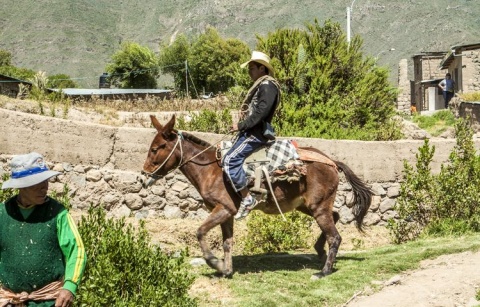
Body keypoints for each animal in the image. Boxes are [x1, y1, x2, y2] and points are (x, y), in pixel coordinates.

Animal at [141, 115, 374, 280]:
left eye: (156, 148)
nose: (143, 177)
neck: (211, 170)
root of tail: (332, 162)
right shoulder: (227, 214)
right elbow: (227, 242)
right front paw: (226, 270)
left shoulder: (223, 209)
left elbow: (200, 232)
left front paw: (215, 263)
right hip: (308, 206)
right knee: (335, 218)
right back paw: (320, 252)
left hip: (317, 207)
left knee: (335, 236)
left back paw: (323, 271)